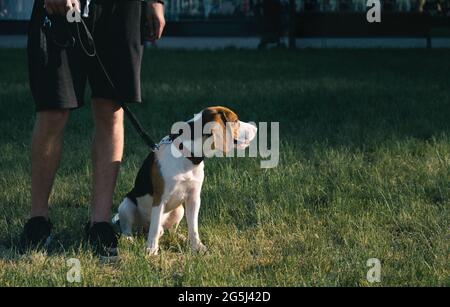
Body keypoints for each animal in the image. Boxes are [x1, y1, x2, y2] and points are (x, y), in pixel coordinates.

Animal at [114, 107, 258, 256]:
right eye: (235, 121)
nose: (256, 128)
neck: (187, 155)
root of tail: (143, 229)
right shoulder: (159, 199)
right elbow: (154, 227)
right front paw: (151, 250)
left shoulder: (194, 198)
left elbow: (193, 227)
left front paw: (197, 247)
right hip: (126, 205)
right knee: (131, 227)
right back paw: (129, 238)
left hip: (179, 210)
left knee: (168, 231)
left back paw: (180, 237)